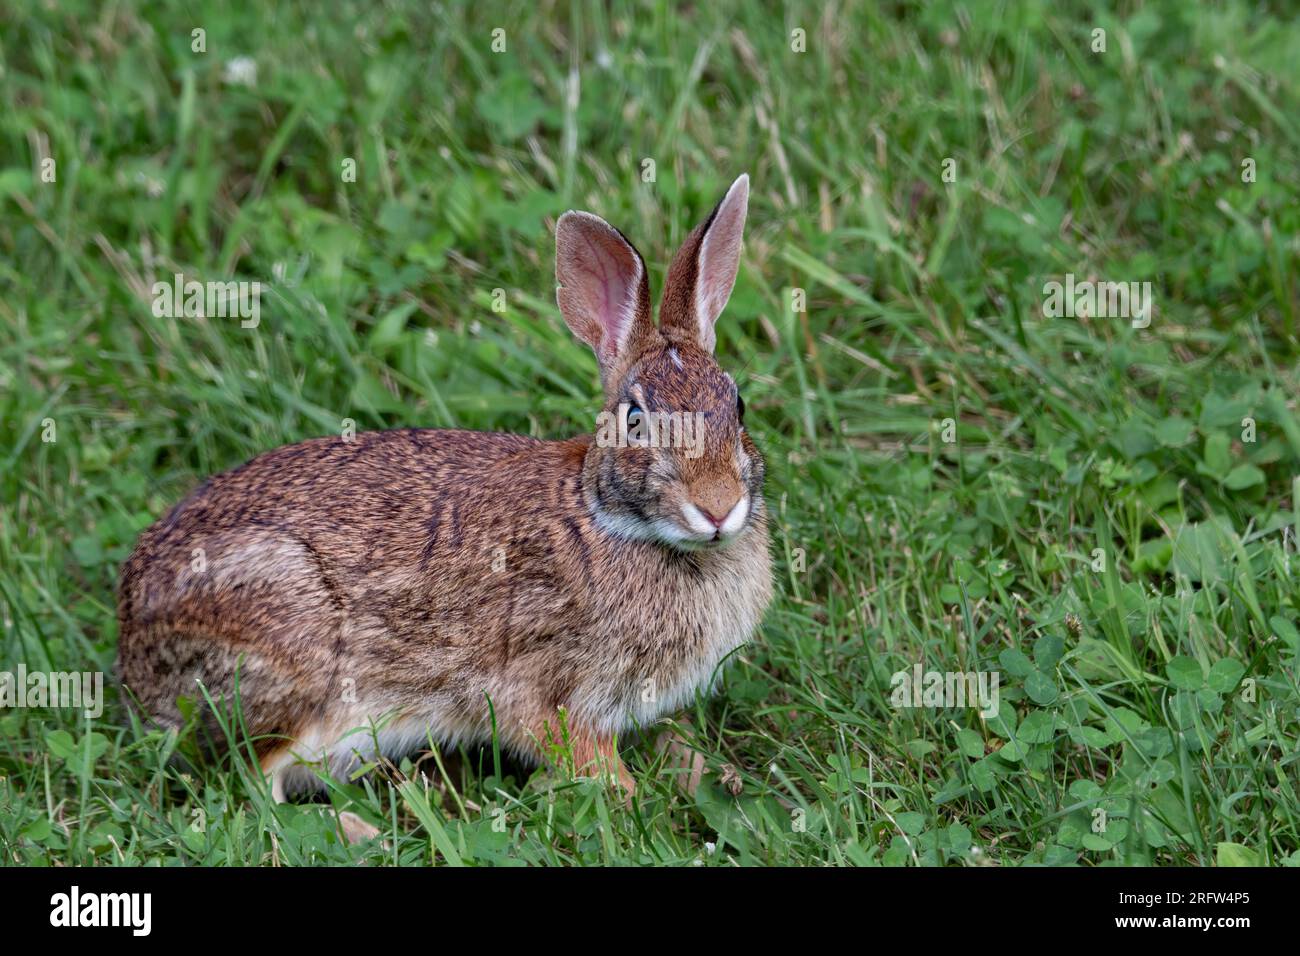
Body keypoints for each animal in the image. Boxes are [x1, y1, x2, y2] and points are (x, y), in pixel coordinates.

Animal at [116, 173, 772, 802]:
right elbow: (585, 757)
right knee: (254, 782)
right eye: (635, 420)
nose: (718, 507)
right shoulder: (538, 689)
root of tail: (132, 648)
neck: (607, 517)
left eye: (737, 404)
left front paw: (706, 772)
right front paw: (634, 798)